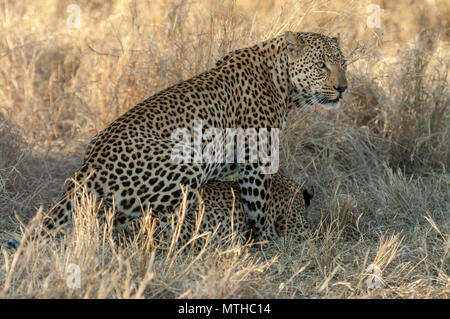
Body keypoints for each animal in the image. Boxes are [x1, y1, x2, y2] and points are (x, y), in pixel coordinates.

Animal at [38, 30, 346, 245]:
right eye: (321, 65)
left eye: (343, 62)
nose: (343, 87)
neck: (283, 85)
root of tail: (87, 170)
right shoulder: (256, 159)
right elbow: (258, 205)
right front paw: (267, 240)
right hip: (187, 163)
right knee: (142, 223)